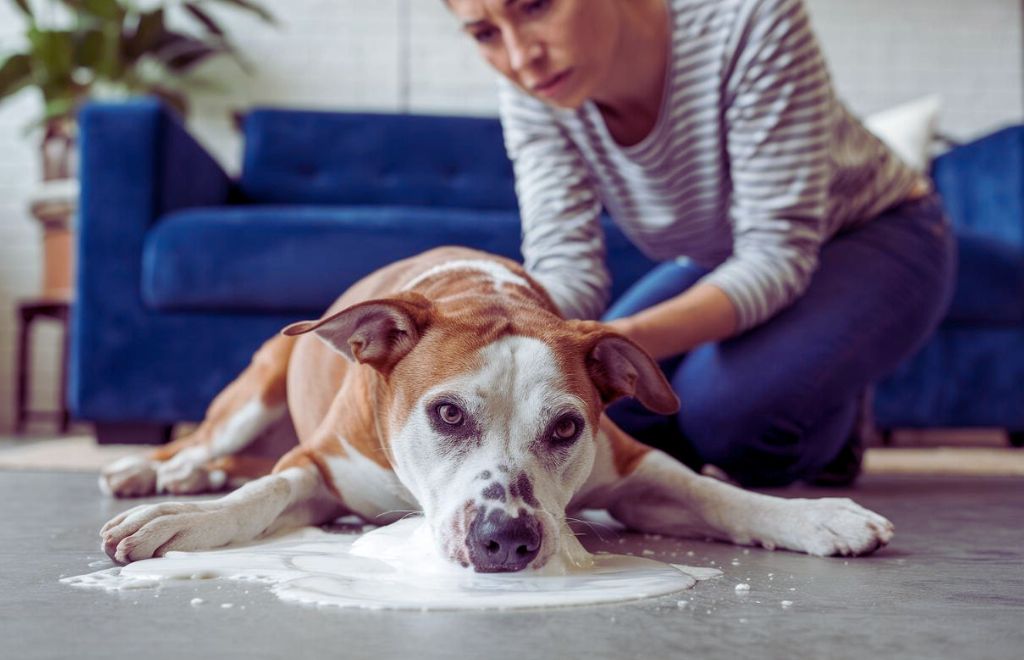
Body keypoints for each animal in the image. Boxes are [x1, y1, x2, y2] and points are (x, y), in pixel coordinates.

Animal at [97, 244, 897, 568]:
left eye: (567, 426)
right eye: (448, 415)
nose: (506, 539)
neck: (480, 292)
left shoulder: (632, 471)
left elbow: (709, 491)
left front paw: (813, 516)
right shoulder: (319, 465)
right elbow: (264, 492)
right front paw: (185, 520)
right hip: (255, 389)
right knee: (204, 441)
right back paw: (155, 472)